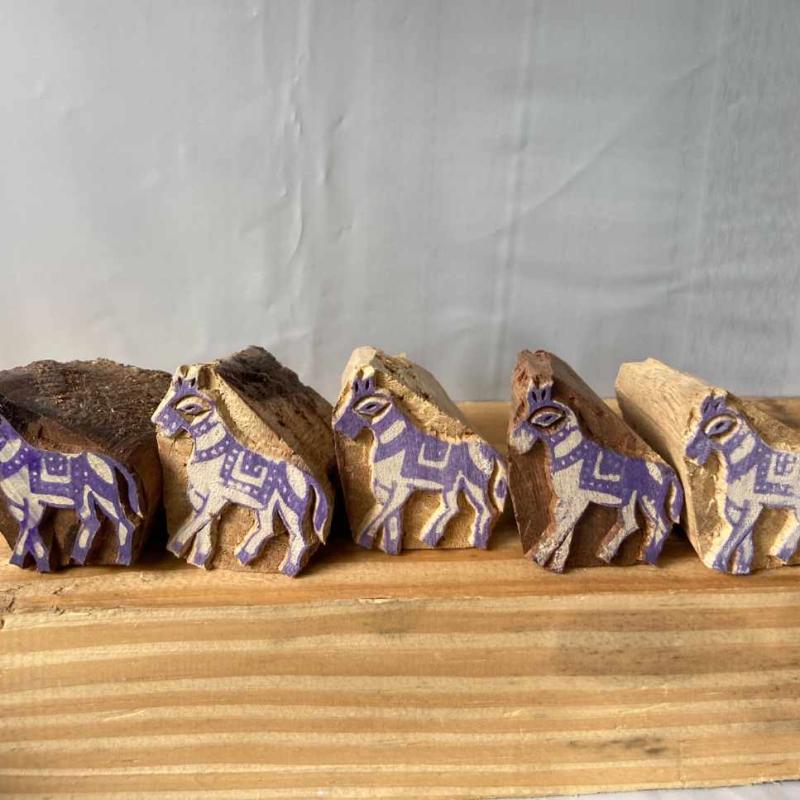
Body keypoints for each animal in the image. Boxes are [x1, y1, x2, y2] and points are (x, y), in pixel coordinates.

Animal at [0, 415, 141, 572]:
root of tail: (109, 461)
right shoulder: (19, 505)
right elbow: (30, 532)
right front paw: (42, 561)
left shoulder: (34, 503)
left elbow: (26, 532)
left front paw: (21, 560)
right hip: (85, 499)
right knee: (93, 522)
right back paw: (78, 556)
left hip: (106, 496)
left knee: (124, 523)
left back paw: (122, 559)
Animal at [151, 367, 330, 576]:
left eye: (186, 407)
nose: (155, 420)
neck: (213, 449)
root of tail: (308, 478)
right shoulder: (199, 494)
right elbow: (204, 525)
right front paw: (199, 558)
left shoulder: (217, 497)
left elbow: (199, 520)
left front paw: (176, 547)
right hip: (266, 506)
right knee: (268, 529)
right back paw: (244, 555)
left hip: (292, 508)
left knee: (301, 539)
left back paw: (288, 568)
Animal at [333, 368, 507, 554]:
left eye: (368, 406)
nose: (339, 426)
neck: (397, 442)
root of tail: (493, 453)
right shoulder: (384, 489)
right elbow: (390, 520)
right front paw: (390, 548)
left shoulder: (402, 488)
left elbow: (383, 514)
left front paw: (367, 540)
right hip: (453, 486)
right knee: (454, 507)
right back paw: (432, 538)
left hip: (474, 484)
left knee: (484, 510)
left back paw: (474, 542)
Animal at [510, 382, 682, 572]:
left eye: (540, 419)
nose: (515, 441)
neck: (573, 453)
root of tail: (668, 472)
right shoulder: (564, 500)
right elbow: (564, 528)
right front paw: (555, 564)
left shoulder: (579, 499)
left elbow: (563, 527)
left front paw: (540, 558)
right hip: (629, 502)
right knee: (631, 524)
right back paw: (607, 554)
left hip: (650, 500)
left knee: (662, 525)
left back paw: (647, 557)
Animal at [686, 394, 800, 574]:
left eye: (714, 429)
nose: (690, 453)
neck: (747, 462)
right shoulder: (735, 507)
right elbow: (745, 542)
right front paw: (741, 568)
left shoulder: (753, 507)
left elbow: (735, 537)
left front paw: (719, 564)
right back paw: (780, 555)